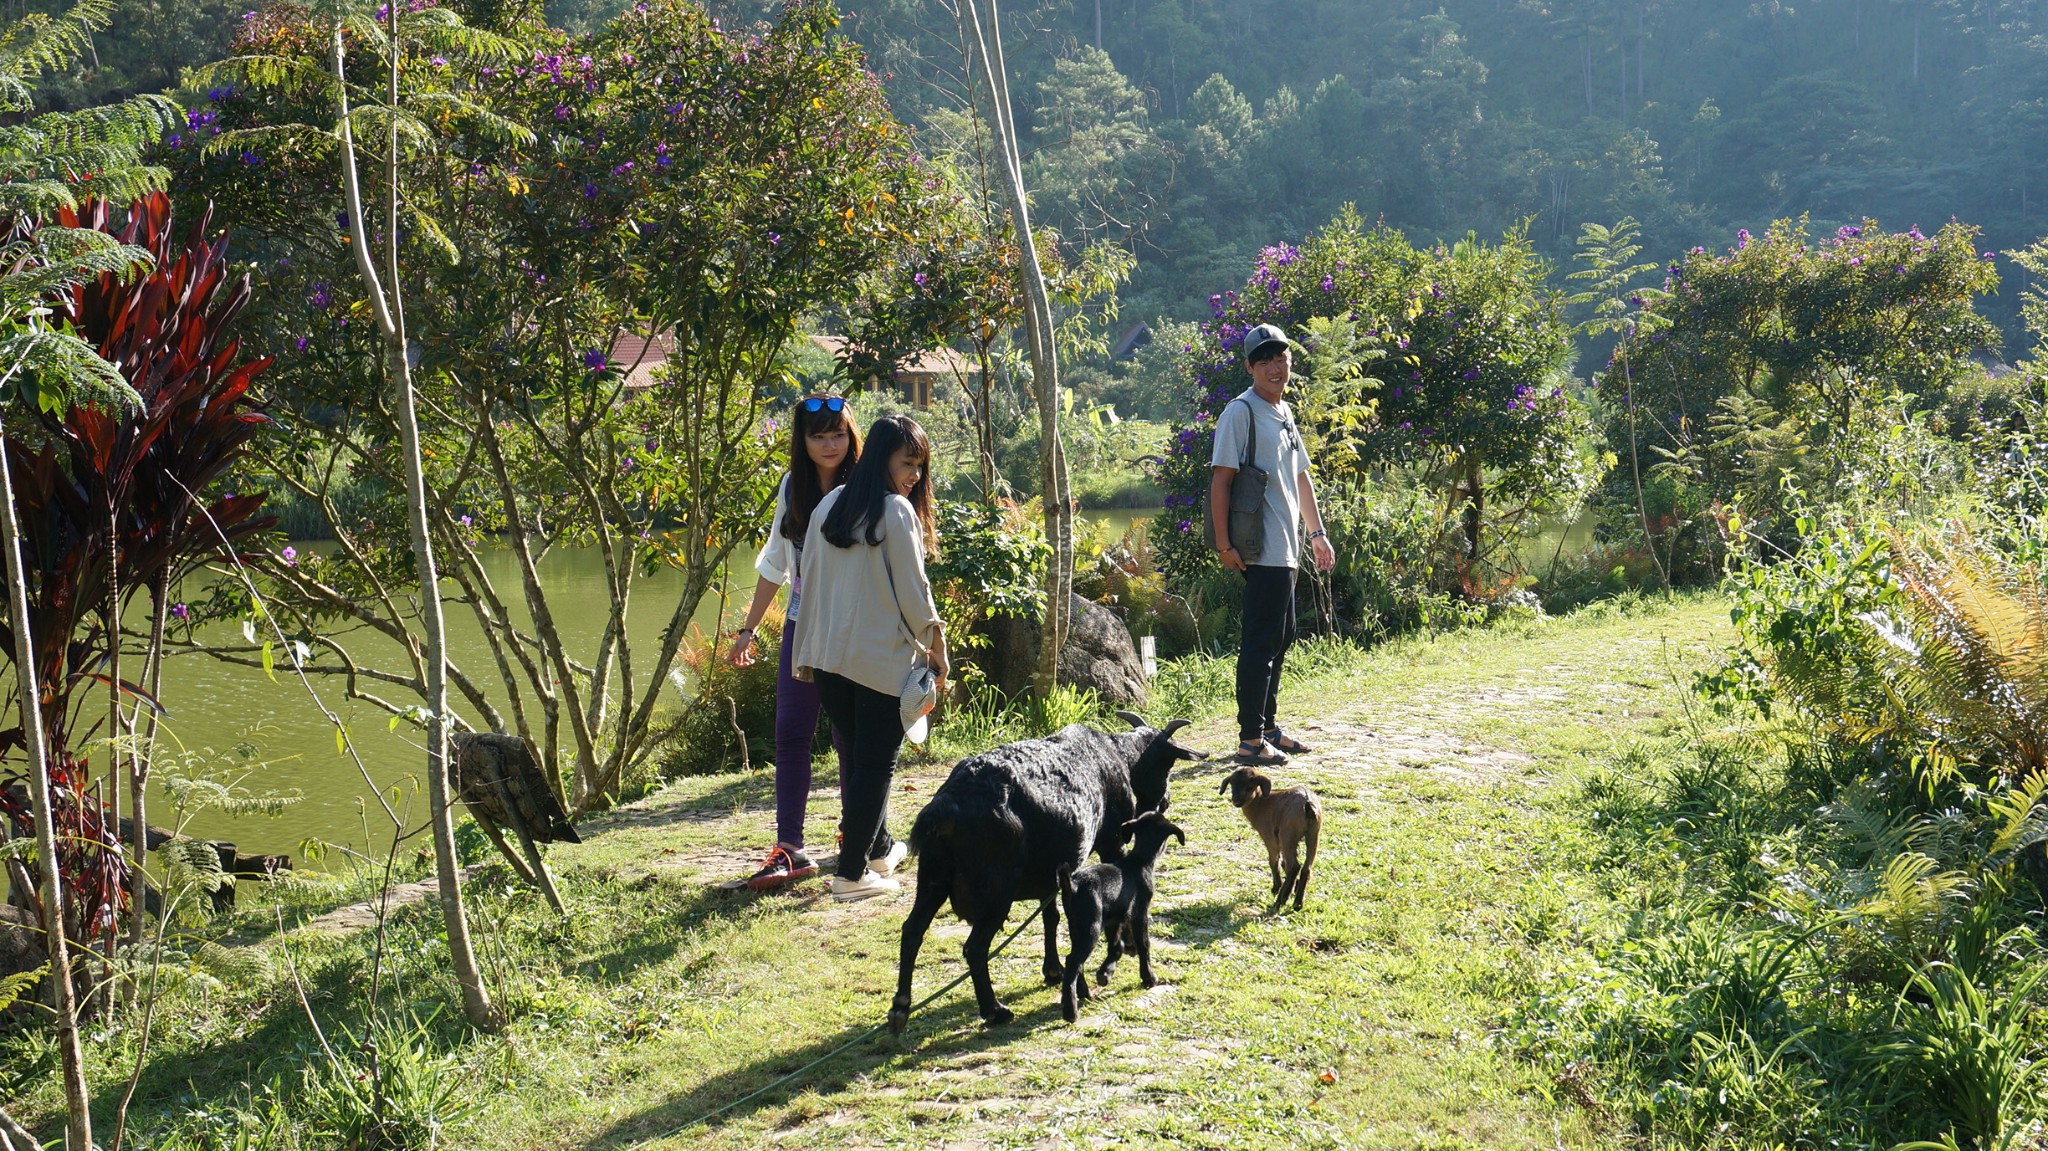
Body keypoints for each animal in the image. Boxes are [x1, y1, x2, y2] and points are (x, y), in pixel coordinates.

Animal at [1056, 811, 1187, 1015]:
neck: (1139, 860)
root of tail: (1073, 885)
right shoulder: (1139, 913)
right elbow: (1144, 944)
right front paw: (1149, 978)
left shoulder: (1114, 919)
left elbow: (1116, 945)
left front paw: (1105, 972)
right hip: (1091, 927)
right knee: (1072, 962)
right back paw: (1071, 1010)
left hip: (1076, 926)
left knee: (1077, 962)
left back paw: (1083, 992)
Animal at [1212, 765, 1327, 909]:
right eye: (1232, 784)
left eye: (1250, 785)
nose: (1236, 800)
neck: (1260, 803)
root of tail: (1308, 803)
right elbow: (1283, 863)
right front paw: (1293, 888)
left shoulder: (1270, 836)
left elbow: (1274, 861)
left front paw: (1276, 887)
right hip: (1313, 834)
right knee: (1306, 868)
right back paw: (1297, 903)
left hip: (1287, 835)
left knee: (1294, 866)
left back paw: (1281, 899)